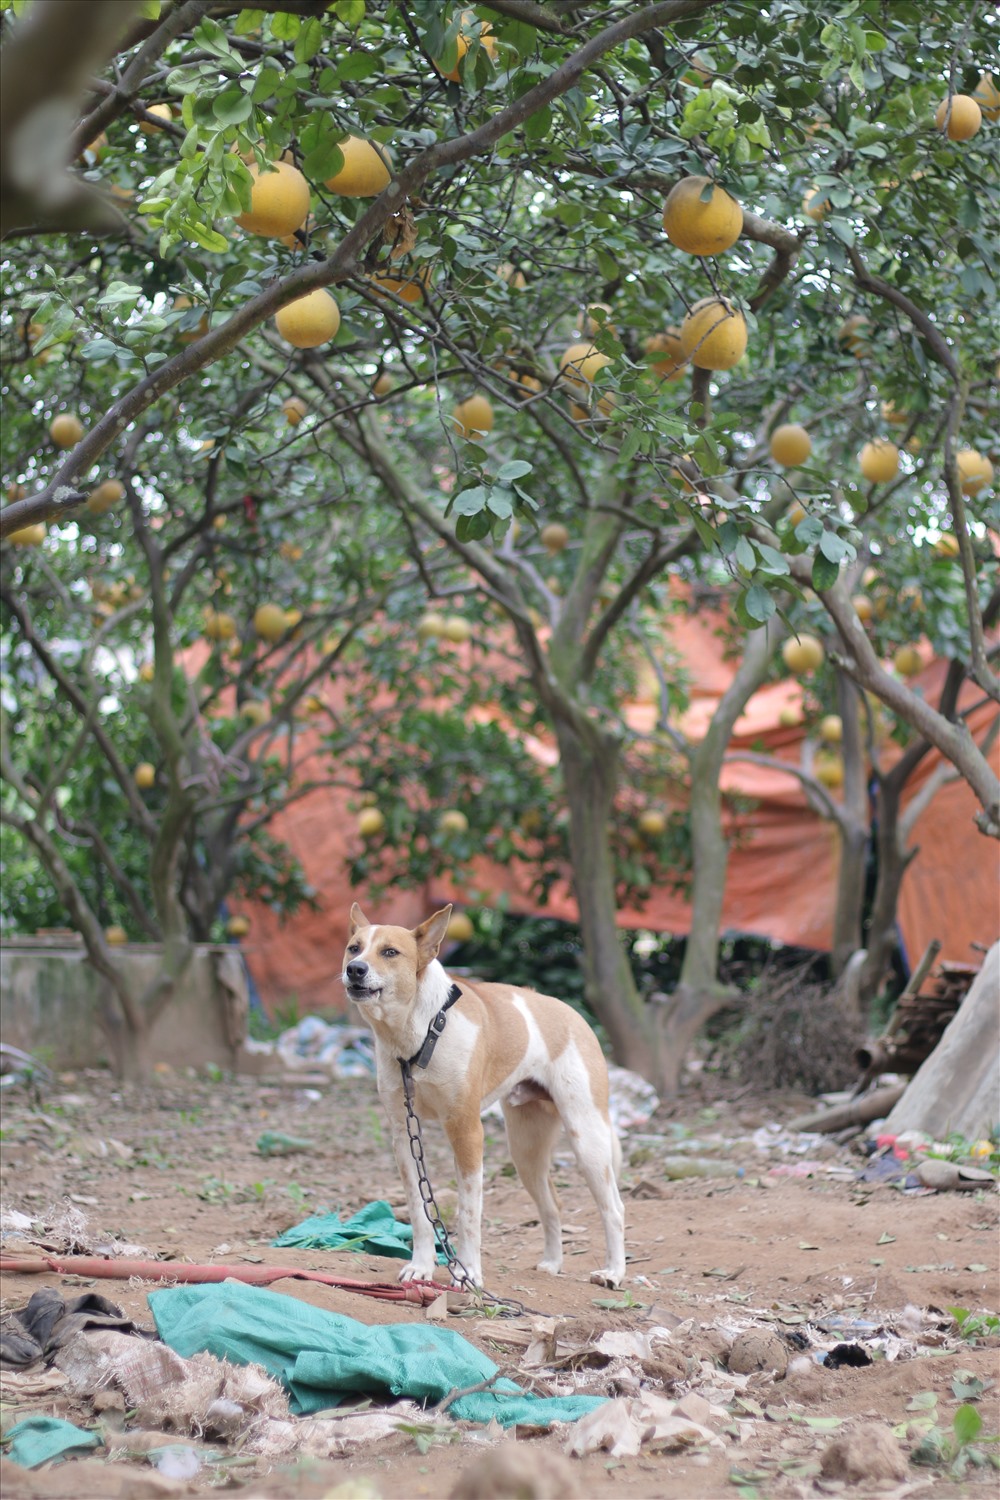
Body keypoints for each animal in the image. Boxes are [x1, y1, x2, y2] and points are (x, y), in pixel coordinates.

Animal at [344, 900, 626, 1290]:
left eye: (390, 952)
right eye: (354, 947)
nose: (354, 969)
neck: (422, 1030)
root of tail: (573, 1014)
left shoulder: (466, 1131)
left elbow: (468, 1212)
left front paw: (469, 1274)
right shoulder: (404, 1136)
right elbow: (418, 1210)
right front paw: (421, 1266)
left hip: (587, 1140)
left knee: (614, 1208)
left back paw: (614, 1272)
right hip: (525, 1151)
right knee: (552, 1205)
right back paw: (552, 1263)